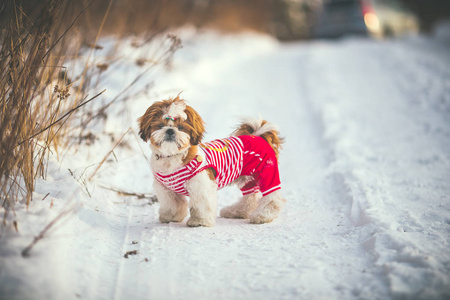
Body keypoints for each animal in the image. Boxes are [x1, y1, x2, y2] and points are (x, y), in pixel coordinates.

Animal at [138, 95, 284, 226]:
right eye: (160, 126)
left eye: (180, 128)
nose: (169, 130)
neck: (172, 156)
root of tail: (259, 137)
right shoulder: (166, 189)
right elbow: (173, 204)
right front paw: (171, 216)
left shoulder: (201, 185)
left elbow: (201, 204)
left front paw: (199, 221)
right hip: (247, 179)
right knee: (250, 197)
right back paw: (237, 212)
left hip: (267, 174)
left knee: (273, 197)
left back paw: (263, 216)